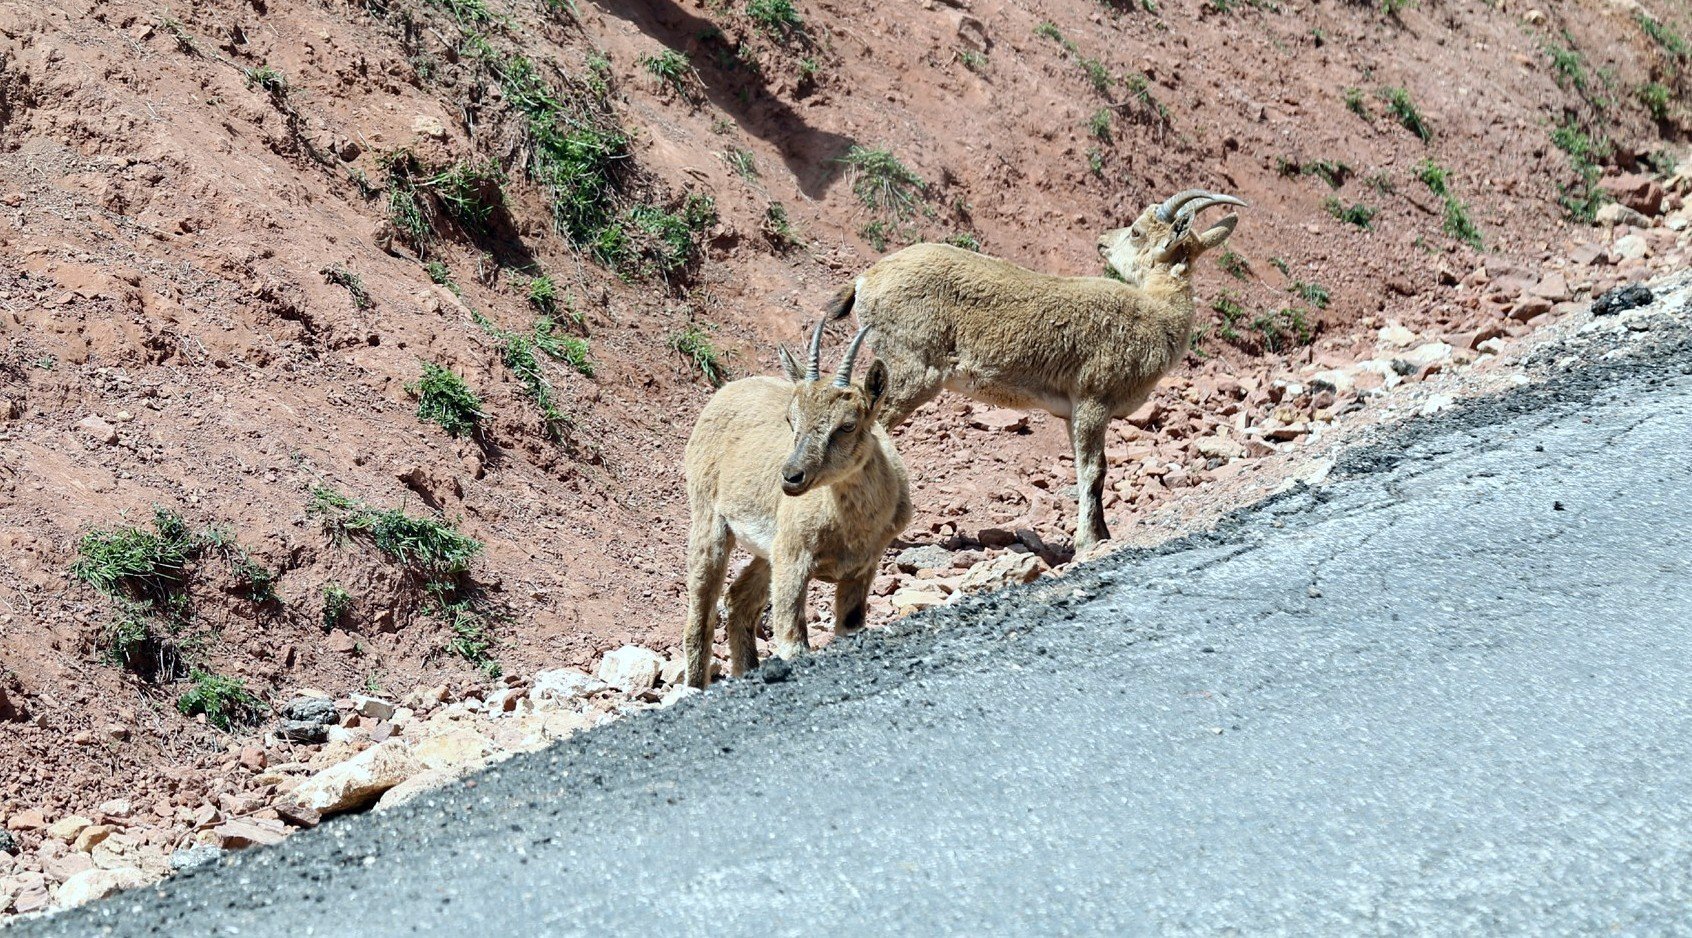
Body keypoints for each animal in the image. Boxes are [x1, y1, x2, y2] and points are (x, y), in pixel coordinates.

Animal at [680, 321, 913, 687]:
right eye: (791, 420)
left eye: (847, 425)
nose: (791, 476)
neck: (850, 528)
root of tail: (726, 390)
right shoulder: (794, 556)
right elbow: (793, 642)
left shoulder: (863, 566)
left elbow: (849, 627)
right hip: (710, 519)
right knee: (701, 615)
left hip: (767, 551)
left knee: (738, 599)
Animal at [818, 188, 1245, 551]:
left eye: (1136, 231)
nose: (1103, 239)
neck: (1156, 316)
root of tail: (865, 280)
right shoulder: (1094, 400)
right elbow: (1094, 470)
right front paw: (1088, 542)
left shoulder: (1073, 411)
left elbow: (1089, 470)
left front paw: (1100, 534)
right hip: (911, 369)